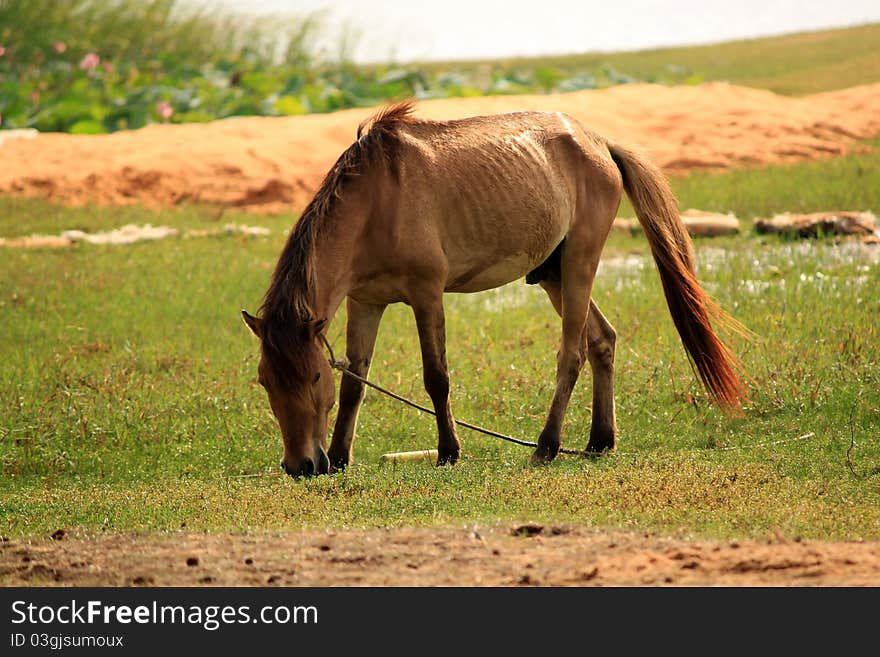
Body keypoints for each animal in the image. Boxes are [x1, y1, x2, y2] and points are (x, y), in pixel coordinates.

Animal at [242, 98, 748, 476]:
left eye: (311, 377)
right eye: (266, 380)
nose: (302, 466)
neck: (375, 202)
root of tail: (600, 144)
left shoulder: (426, 295)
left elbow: (436, 377)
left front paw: (449, 452)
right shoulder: (364, 302)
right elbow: (354, 382)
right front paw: (342, 458)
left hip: (580, 264)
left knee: (573, 353)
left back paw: (546, 446)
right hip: (553, 275)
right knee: (603, 340)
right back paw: (598, 442)